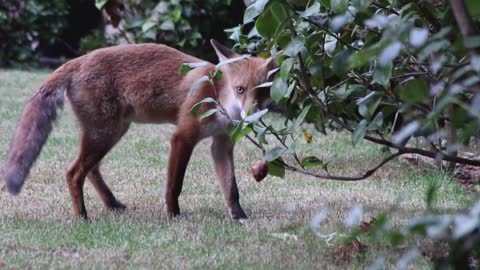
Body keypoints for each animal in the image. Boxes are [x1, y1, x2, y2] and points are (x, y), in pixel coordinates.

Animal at [2, 40, 274, 221]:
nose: (251, 115)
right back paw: (82, 216)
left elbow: (231, 188)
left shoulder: (221, 144)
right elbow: (174, 185)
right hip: (105, 133)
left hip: (109, 133)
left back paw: (111, 204)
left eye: (262, 92)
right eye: (240, 89)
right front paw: (173, 215)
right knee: (74, 173)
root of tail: (78, 59)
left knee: (91, 170)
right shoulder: (183, 137)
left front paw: (239, 216)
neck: (216, 94)